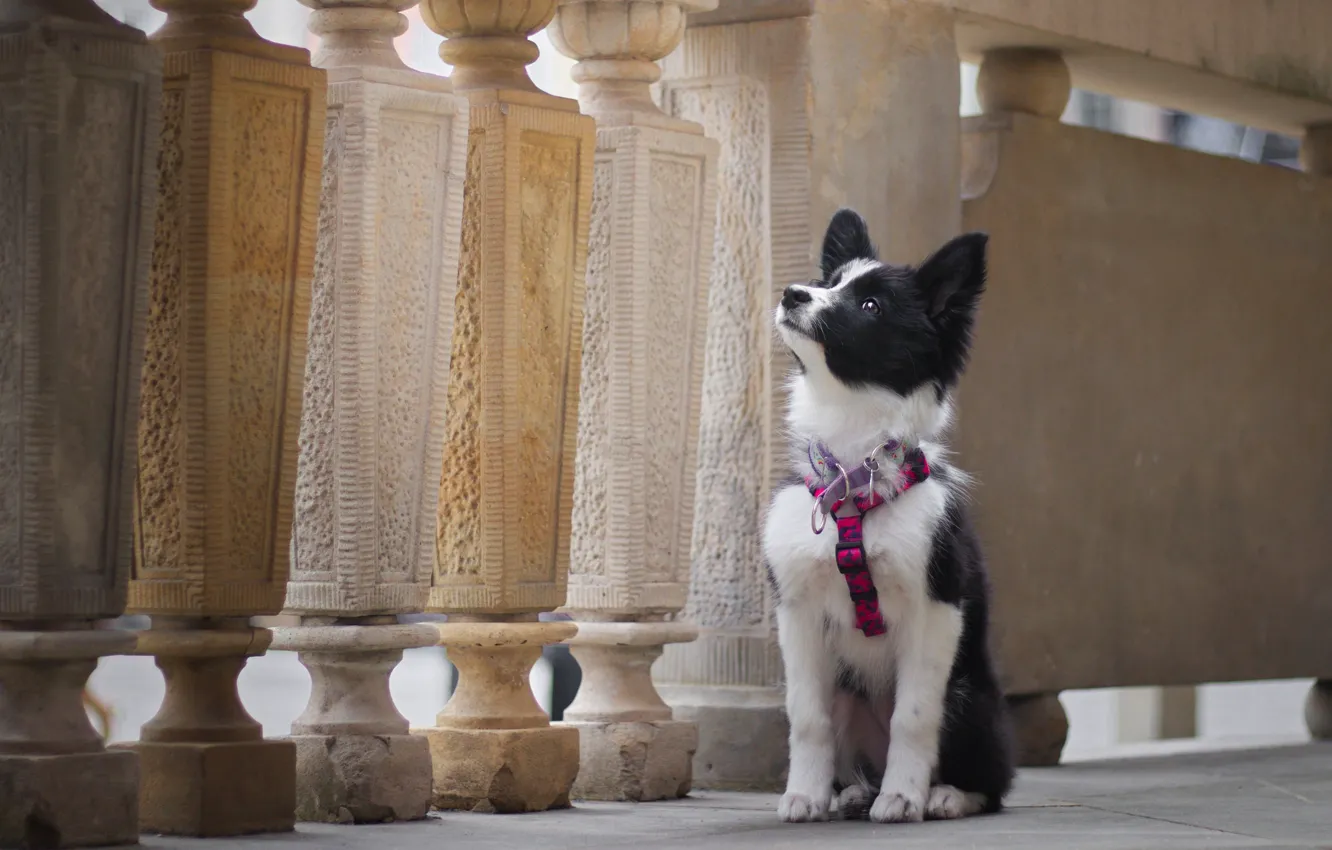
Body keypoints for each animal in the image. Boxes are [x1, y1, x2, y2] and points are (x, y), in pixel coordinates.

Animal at [767, 207, 1012, 826]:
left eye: (872, 306)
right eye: (829, 281)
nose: (793, 292)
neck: (852, 480)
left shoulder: (936, 609)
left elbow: (914, 716)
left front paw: (904, 796)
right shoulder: (798, 614)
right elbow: (807, 716)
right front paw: (804, 795)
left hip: (970, 698)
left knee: (994, 781)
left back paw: (942, 795)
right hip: (848, 691)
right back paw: (851, 792)